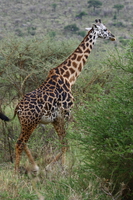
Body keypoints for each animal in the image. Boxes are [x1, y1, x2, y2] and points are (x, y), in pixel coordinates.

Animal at [0, 19, 115, 173]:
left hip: (27, 123)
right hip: (31, 122)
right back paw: (17, 171)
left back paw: (34, 167)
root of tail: (17, 107)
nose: (113, 36)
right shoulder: (65, 113)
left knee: (22, 142)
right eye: (105, 29)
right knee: (20, 143)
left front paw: (50, 166)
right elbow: (65, 142)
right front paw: (63, 168)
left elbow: (63, 142)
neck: (69, 77)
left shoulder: (55, 118)